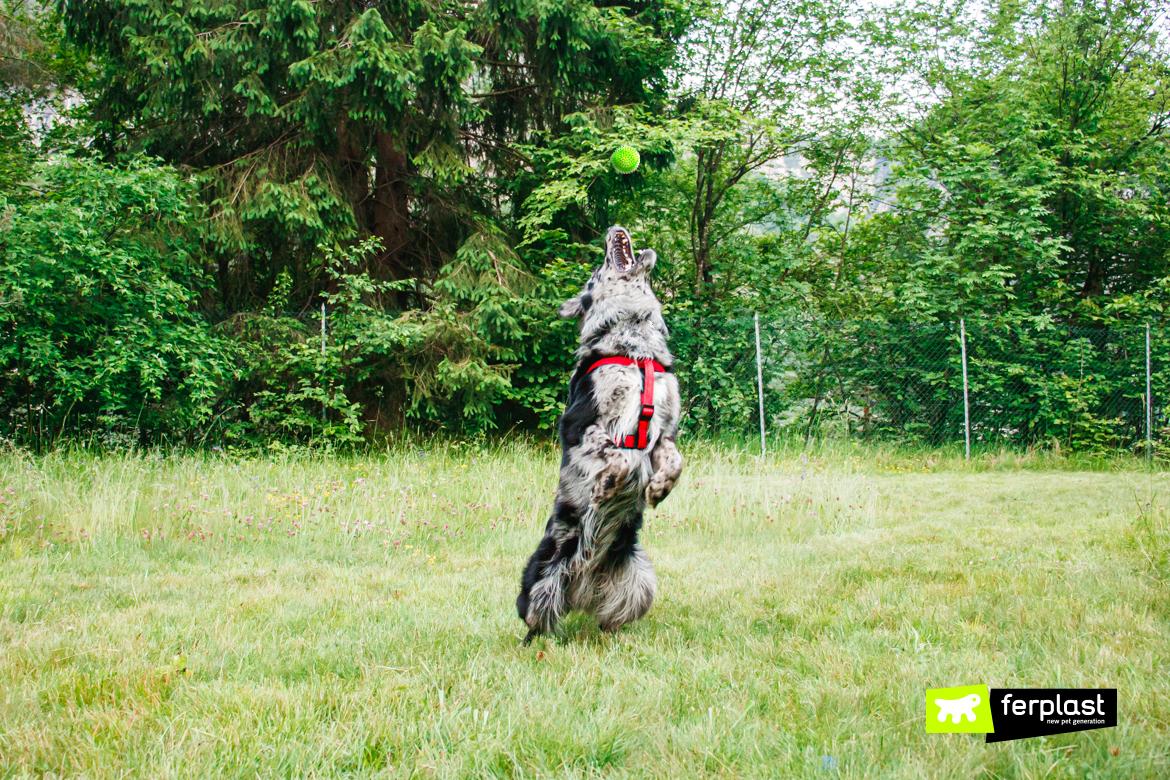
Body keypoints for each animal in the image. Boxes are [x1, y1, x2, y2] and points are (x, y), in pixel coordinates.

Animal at [514, 224, 683, 640]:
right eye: (596, 269)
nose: (611, 228)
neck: (635, 348)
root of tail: (582, 585)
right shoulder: (581, 424)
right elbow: (619, 455)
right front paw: (607, 485)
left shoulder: (665, 435)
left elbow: (675, 461)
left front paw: (659, 488)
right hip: (541, 575)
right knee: (536, 621)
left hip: (642, 582)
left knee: (613, 615)